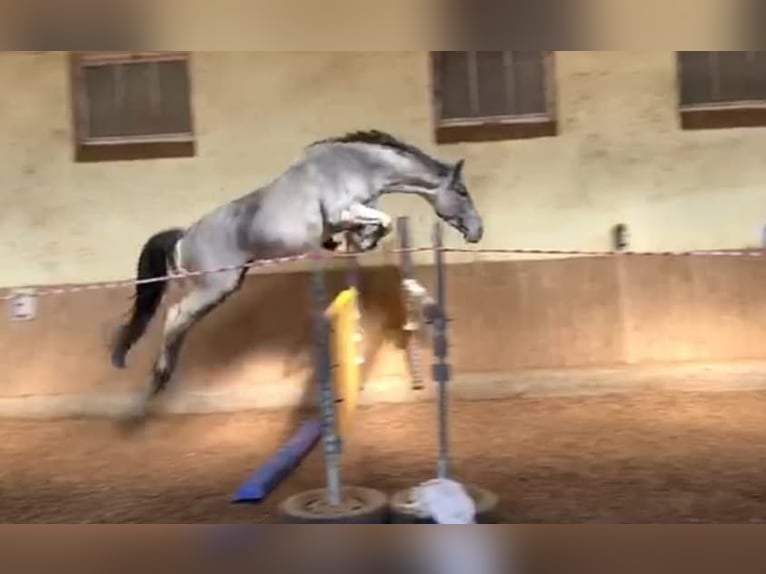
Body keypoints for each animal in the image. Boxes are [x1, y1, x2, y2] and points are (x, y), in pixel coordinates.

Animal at [111, 129, 484, 418]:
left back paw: (162, 377)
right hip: (216, 284)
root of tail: (184, 236)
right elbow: (383, 220)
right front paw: (364, 240)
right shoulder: (342, 211)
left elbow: (376, 224)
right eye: (462, 191)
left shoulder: (349, 217)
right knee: (175, 315)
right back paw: (159, 376)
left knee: (182, 322)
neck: (357, 166)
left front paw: (361, 241)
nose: (477, 231)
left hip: (224, 287)